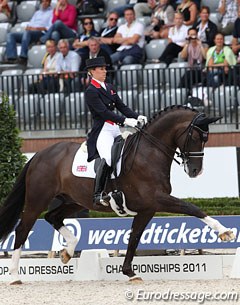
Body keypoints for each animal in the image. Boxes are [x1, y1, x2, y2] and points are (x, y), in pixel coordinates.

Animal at [0, 105, 234, 284]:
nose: (195, 171)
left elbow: (134, 238)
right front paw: (225, 232)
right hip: (37, 199)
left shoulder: (147, 208)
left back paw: (68, 251)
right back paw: (14, 276)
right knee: (22, 229)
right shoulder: (158, 199)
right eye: (194, 136)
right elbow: (192, 208)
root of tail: (39, 154)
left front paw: (130, 273)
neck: (149, 153)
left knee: (53, 217)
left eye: (206, 138)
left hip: (75, 201)